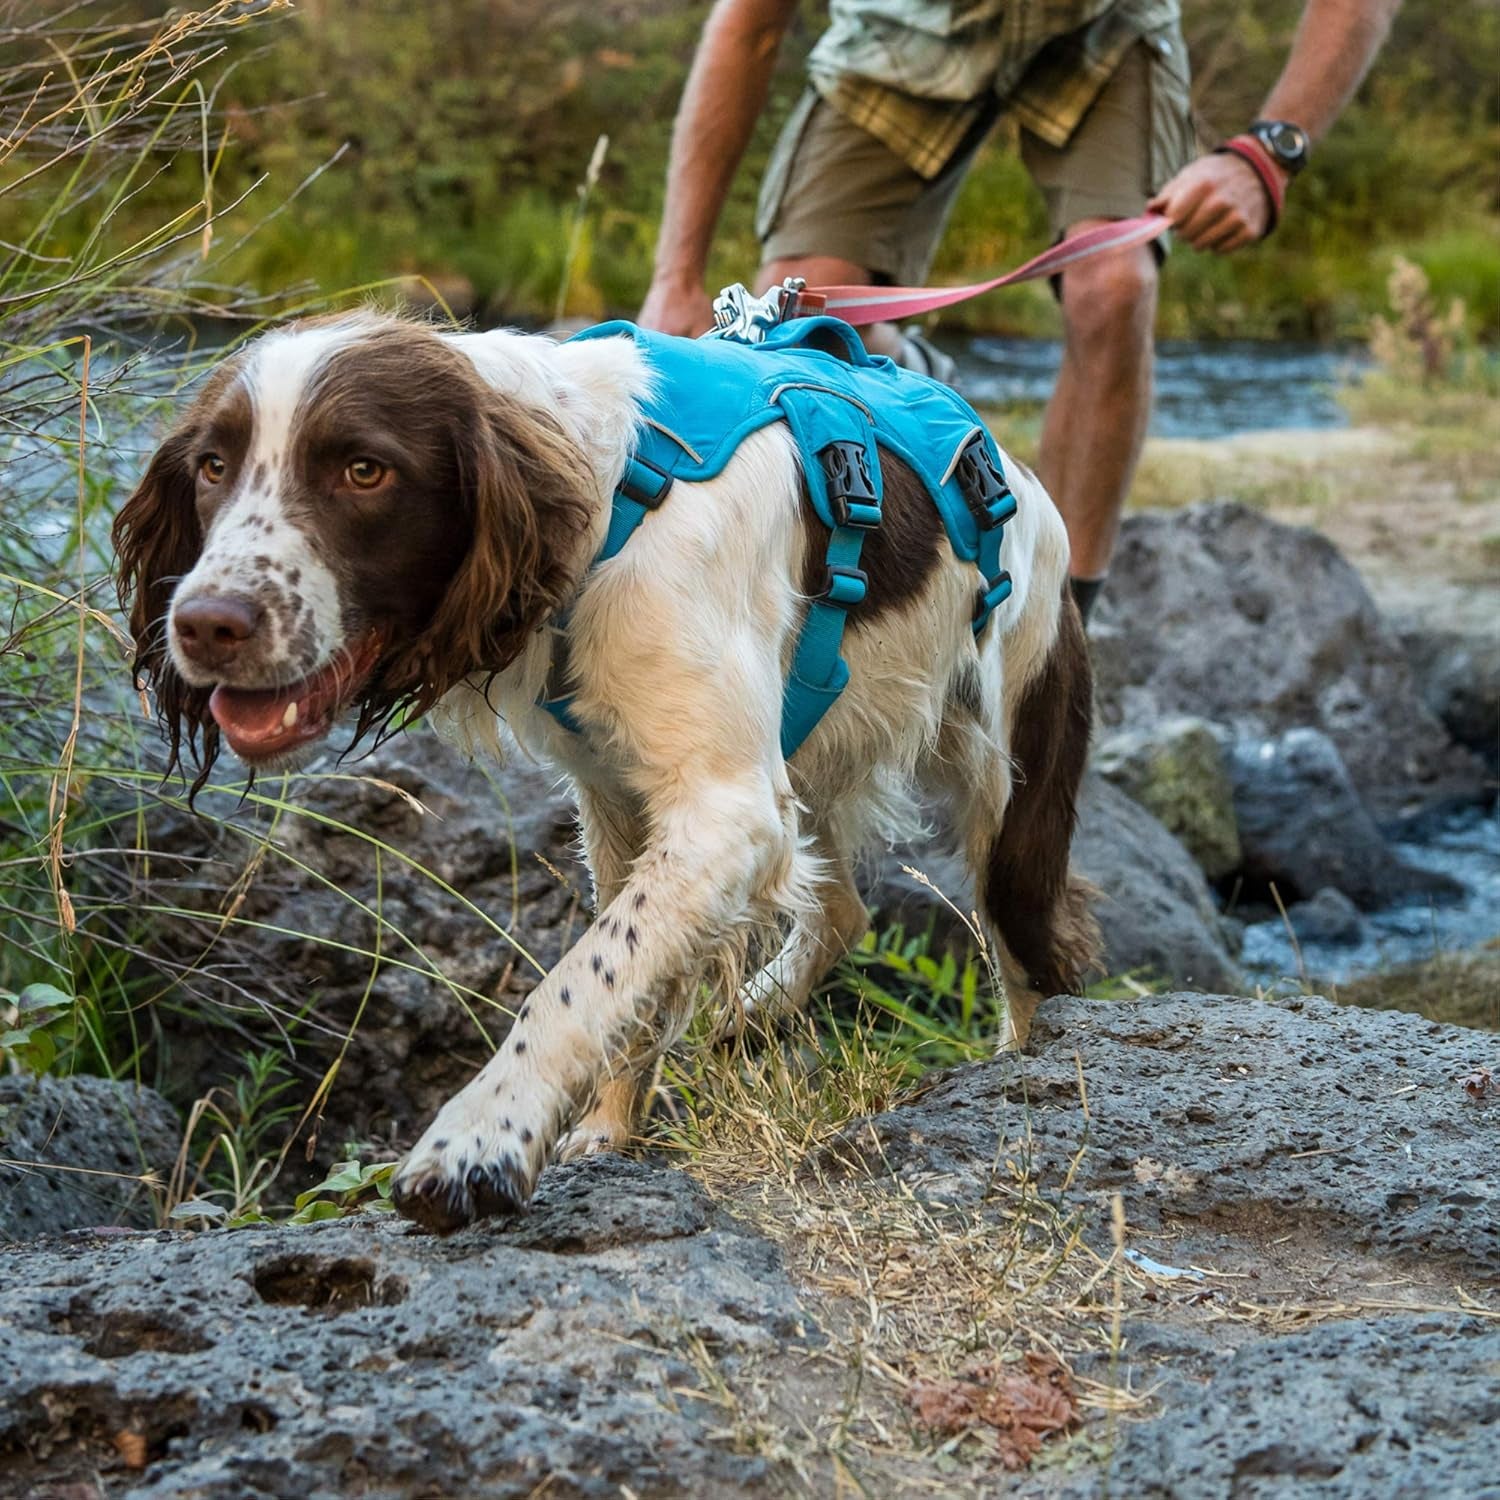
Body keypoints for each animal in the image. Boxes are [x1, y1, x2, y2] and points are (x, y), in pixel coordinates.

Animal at [114, 313, 1104, 1230]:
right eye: (212, 467)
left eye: (365, 470)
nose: (207, 623)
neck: (614, 501)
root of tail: (1021, 476)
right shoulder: (625, 797)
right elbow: (628, 979)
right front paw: (605, 1131)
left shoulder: (722, 807)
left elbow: (574, 984)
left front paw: (479, 1140)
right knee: (845, 907)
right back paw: (756, 1011)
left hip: (1009, 772)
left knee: (1028, 958)